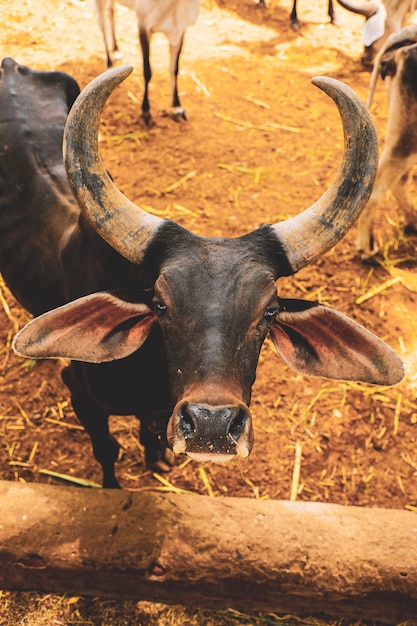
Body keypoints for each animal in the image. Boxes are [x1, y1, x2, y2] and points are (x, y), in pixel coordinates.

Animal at [0, 57, 404, 488]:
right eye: (160, 305)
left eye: (269, 311)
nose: (213, 425)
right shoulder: (81, 397)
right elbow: (107, 450)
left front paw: (157, 456)